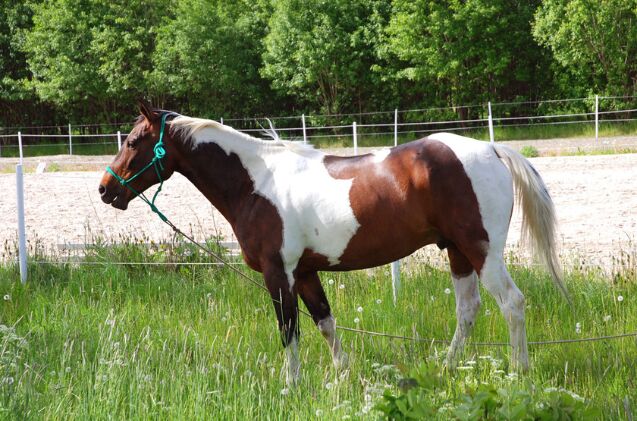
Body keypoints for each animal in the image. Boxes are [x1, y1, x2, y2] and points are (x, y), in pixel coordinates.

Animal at [102, 104, 564, 384]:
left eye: (134, 141)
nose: (106, 189)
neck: (255, 183)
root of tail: (492, 148)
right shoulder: (306, 273)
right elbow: (325, 323)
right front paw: (343, 376)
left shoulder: (279, 274)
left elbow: (289, 330)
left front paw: (291, 386)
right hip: (456, 252)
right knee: (468, 310)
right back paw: (447, 368)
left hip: (482, 251)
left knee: (512, 303)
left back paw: (519, 373)